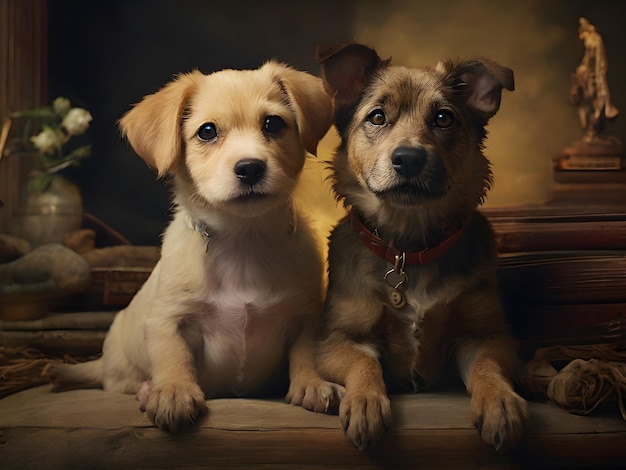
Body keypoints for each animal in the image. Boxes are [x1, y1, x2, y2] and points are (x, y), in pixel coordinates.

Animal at [42, 62, 342, 434]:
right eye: (207, 131)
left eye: (273, 123)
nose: (250, 168)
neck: (244, 238)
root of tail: (104, 363)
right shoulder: (168, 318)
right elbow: (174, 357)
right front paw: (173, 392)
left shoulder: (305, 316)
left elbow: (305, 353)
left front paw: (312, 384)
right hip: (123, 368)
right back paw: (145, 389)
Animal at [316, 44, 528, 452]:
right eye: (377, 117)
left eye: (444, 118)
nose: (409, 159)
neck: (409, 249)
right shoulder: (339, 338)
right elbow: (364, 364)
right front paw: (365, 402)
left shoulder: (488, 336)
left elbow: (487, 367)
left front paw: (499, 402)